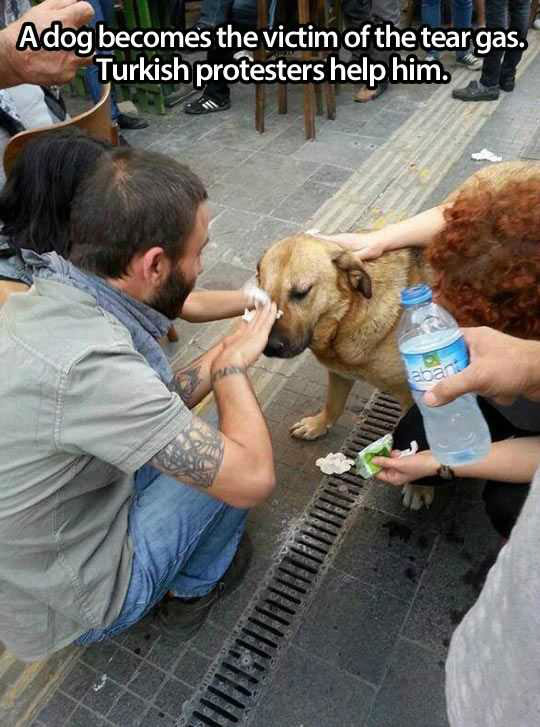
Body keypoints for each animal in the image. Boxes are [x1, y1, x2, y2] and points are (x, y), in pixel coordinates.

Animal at [258, 235, 434, 512]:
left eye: (301, 293)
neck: (351, 313)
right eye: (262, 296)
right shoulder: (339, 371)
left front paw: (419, 485)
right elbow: (333, 404)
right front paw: (317, 425)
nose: (270, 347)